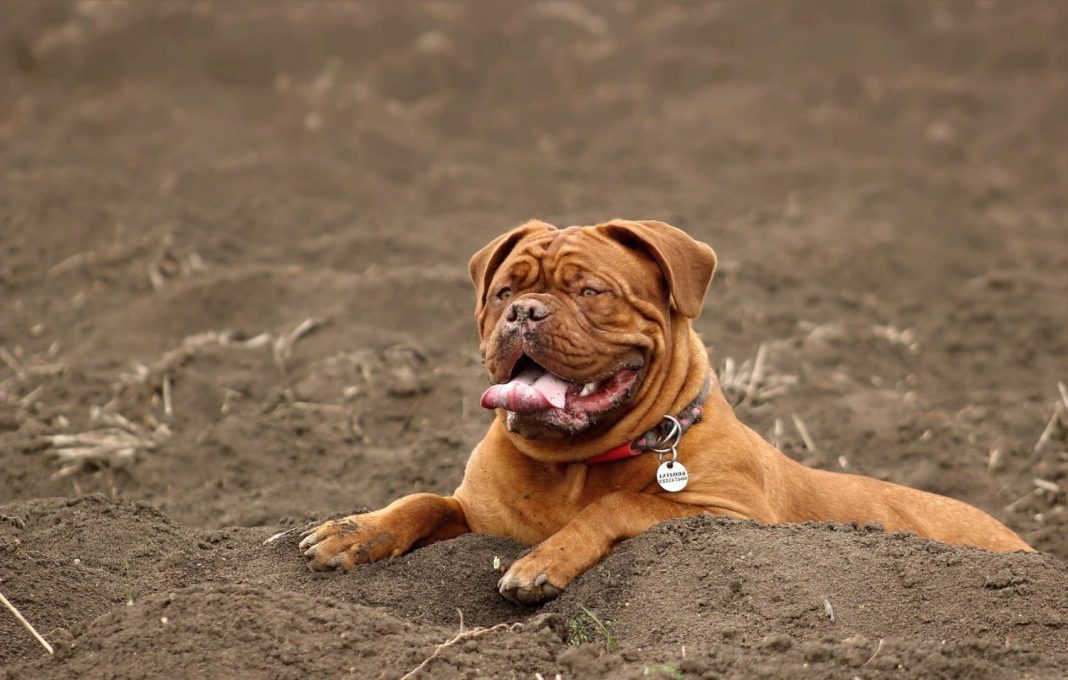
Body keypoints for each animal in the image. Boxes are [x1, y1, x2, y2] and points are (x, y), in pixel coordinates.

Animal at [301, 219, 1033, 602]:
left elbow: (622, 505)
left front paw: (543, 560)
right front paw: (356, 530)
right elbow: (423, 501)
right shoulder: (477, 513)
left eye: (591, 291)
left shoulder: (728, 515)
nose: (523, 311)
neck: (572, 464)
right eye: (504, 290)